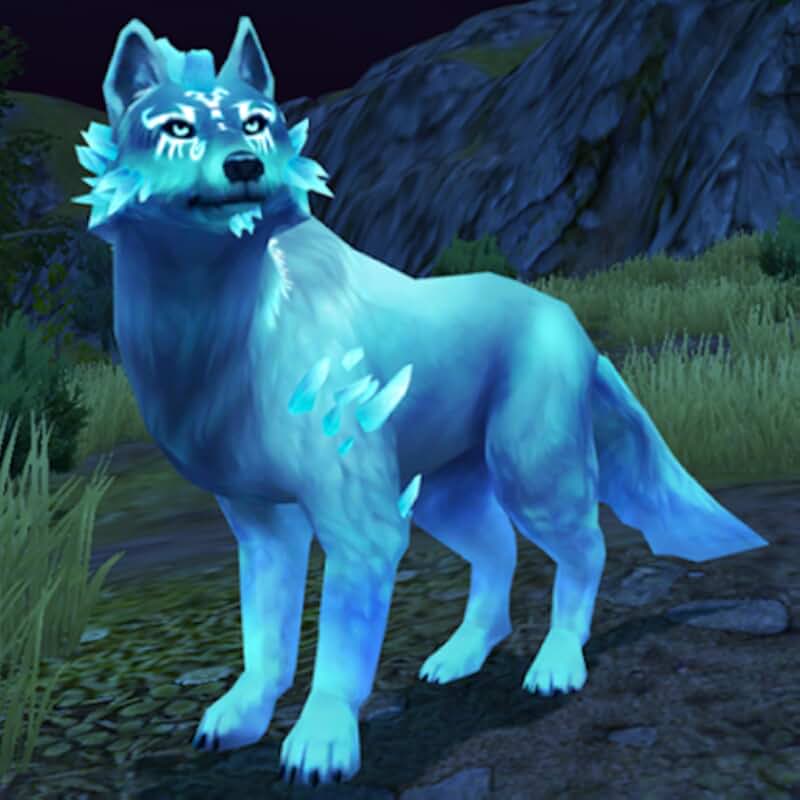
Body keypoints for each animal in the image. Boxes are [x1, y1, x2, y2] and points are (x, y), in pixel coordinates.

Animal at [75, 17, 768, 787]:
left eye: (256, 123)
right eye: (177, 128)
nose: (246, 167)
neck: (226, 328)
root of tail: (571, 321)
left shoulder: (359, 521)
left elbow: (339, 648)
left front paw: (322, 740)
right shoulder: (262, 522)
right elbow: (265, 636)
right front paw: (245, 713)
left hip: (530, 466)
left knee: (584, 547)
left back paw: (557, 662)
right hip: (444, 489)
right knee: (497, 552)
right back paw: (462, 653)